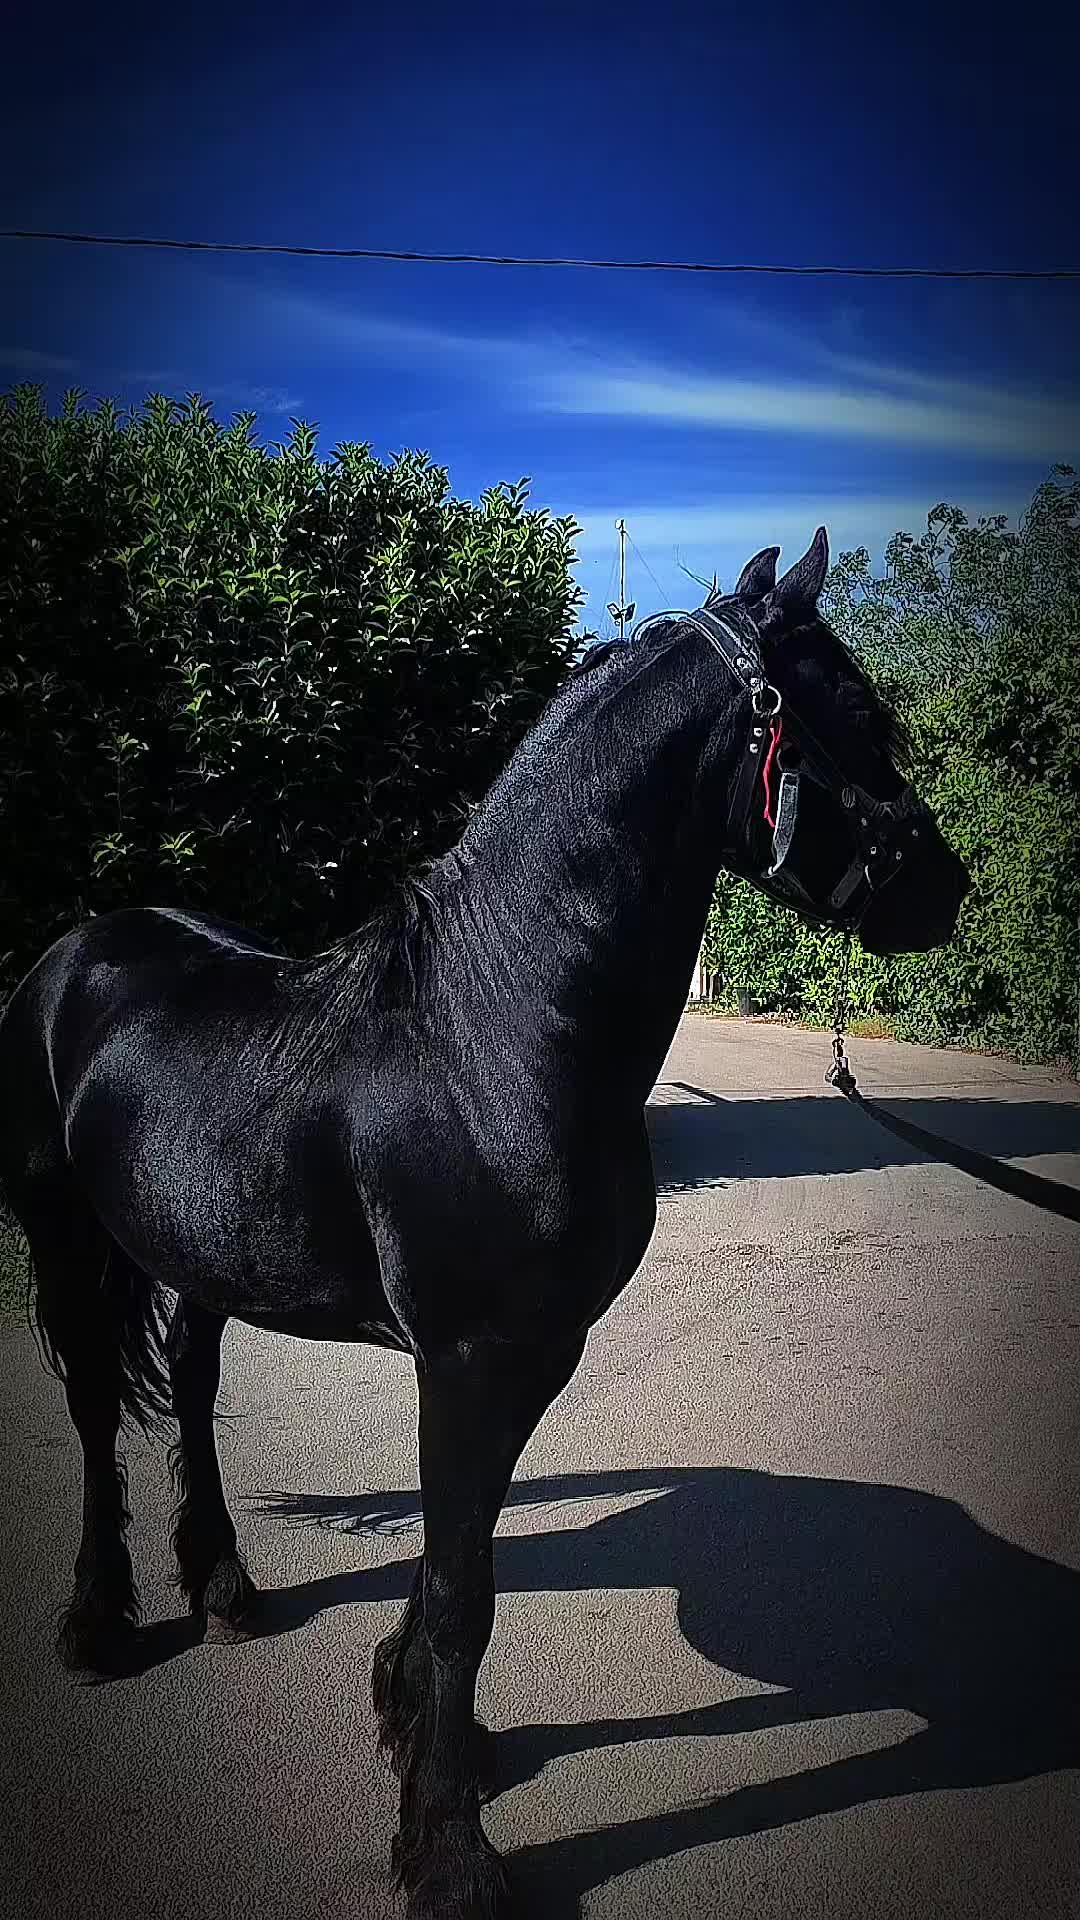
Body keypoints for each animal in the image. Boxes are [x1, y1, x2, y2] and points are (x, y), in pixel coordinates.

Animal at [0, 527, 969, 1919]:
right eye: (858, 718)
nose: (947, 891)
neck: (497, 1035)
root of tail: (74, 953)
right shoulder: (467, 1358)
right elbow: (465, 1588)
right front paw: (449, 1850)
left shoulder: (528, 1356)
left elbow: (466, 1560)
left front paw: (418, 1728)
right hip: (66, 1235)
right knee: (92, 1411)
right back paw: (97, 1623)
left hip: (206, 1256)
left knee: (188, 1386)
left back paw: (227, 1588)